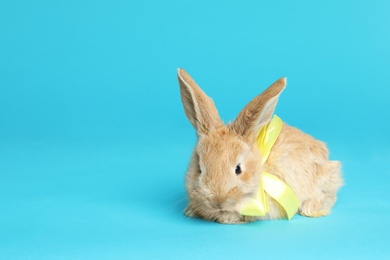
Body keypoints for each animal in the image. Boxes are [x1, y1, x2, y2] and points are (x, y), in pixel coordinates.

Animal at [178, 68, 342, 223]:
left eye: (238, 169)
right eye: (199, 169)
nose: (218, 201)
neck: (259, 164)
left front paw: (228, 219)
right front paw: (190, 211)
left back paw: (311, 208)